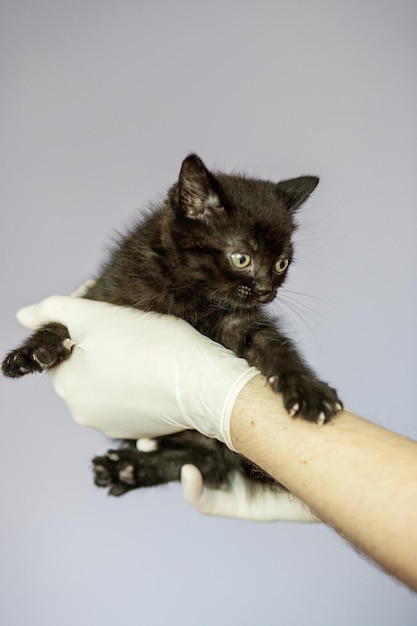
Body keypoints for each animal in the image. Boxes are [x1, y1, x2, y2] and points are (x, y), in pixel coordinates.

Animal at [2, 155, 342, 498]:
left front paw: (308, 391)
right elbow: (64, 320)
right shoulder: (104, 295)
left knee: (209, 460)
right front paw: (31, 352)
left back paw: (128, 468)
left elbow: (274, 347)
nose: (265, 291)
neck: (188, 290)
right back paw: (123, 468)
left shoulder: (239, 320)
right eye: (241, 258)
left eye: (281, 264)